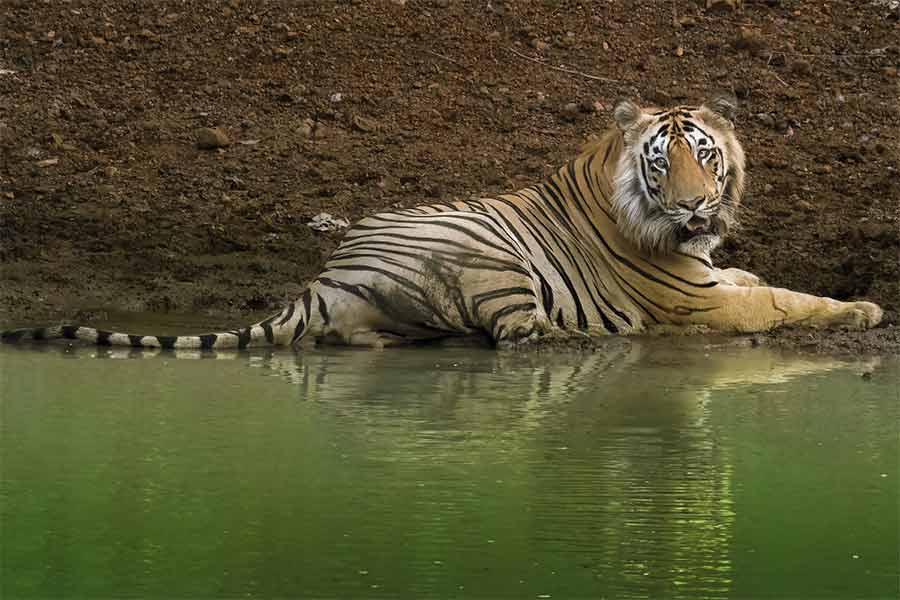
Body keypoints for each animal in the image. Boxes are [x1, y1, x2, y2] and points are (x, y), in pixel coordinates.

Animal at [0, 93, 884, 346]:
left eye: (707, 156)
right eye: (663, 163)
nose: (698, 204)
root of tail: (325, 276)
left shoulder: (709, 273)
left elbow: (754, 275)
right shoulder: (696, 303)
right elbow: (780, 300)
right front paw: (866, 307)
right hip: (490, 259)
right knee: (520, 336)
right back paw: (585, 338)